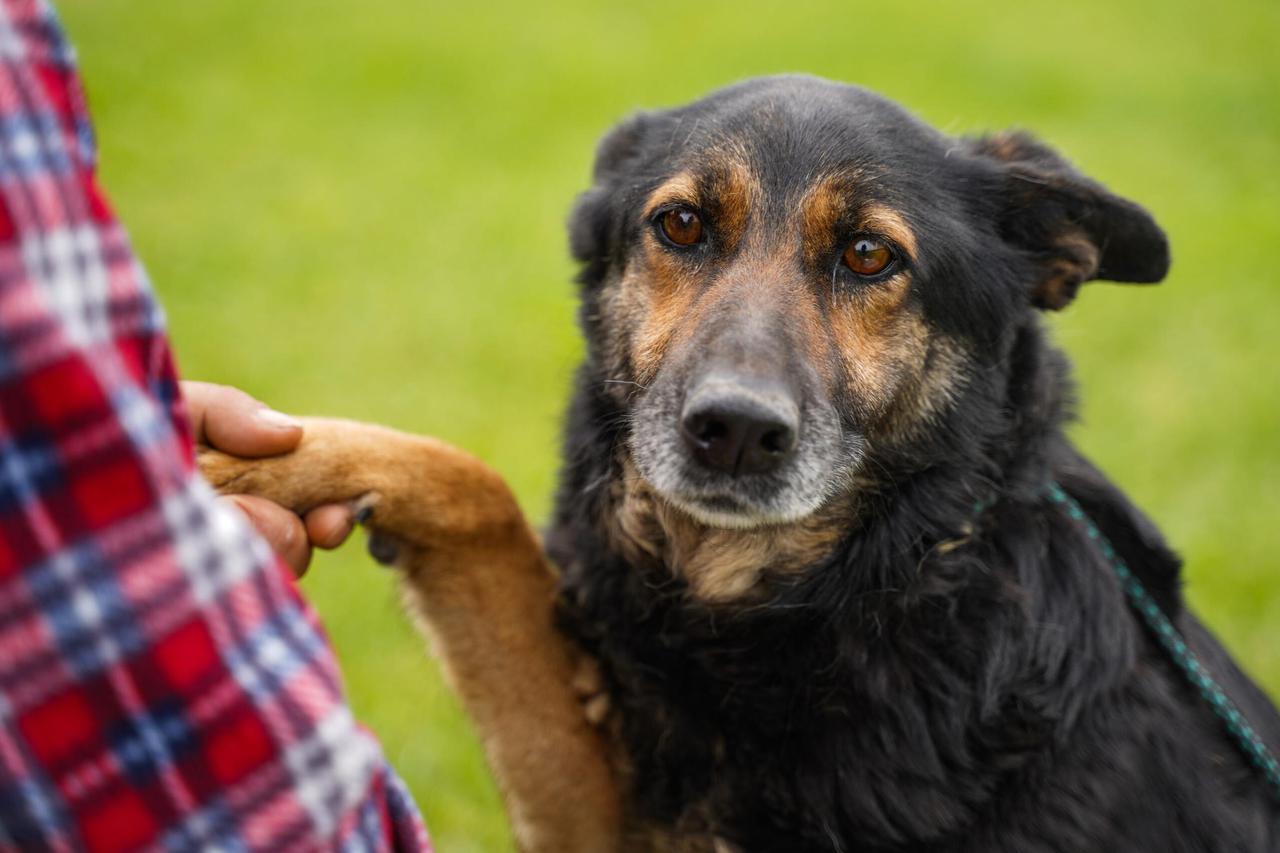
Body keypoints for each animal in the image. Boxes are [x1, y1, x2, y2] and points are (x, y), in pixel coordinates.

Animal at [199, 76, 1280, 845]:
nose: (733, 431)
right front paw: (233, 463)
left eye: (870, 255)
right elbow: (473, 485)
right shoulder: (603, 812)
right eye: (680, 224)